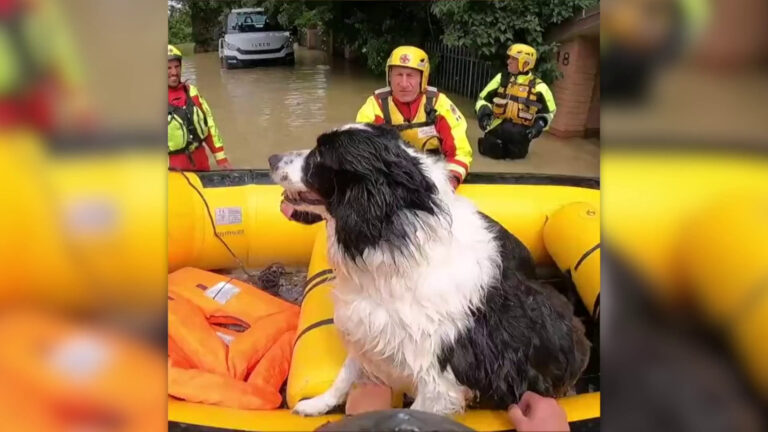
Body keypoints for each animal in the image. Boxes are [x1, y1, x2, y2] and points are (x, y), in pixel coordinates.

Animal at [268, 124, 592, 416]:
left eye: (320, 155)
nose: (272, 158)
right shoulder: (369, 327)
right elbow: (345, 373)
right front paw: (316, 404)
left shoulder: (439, 386)